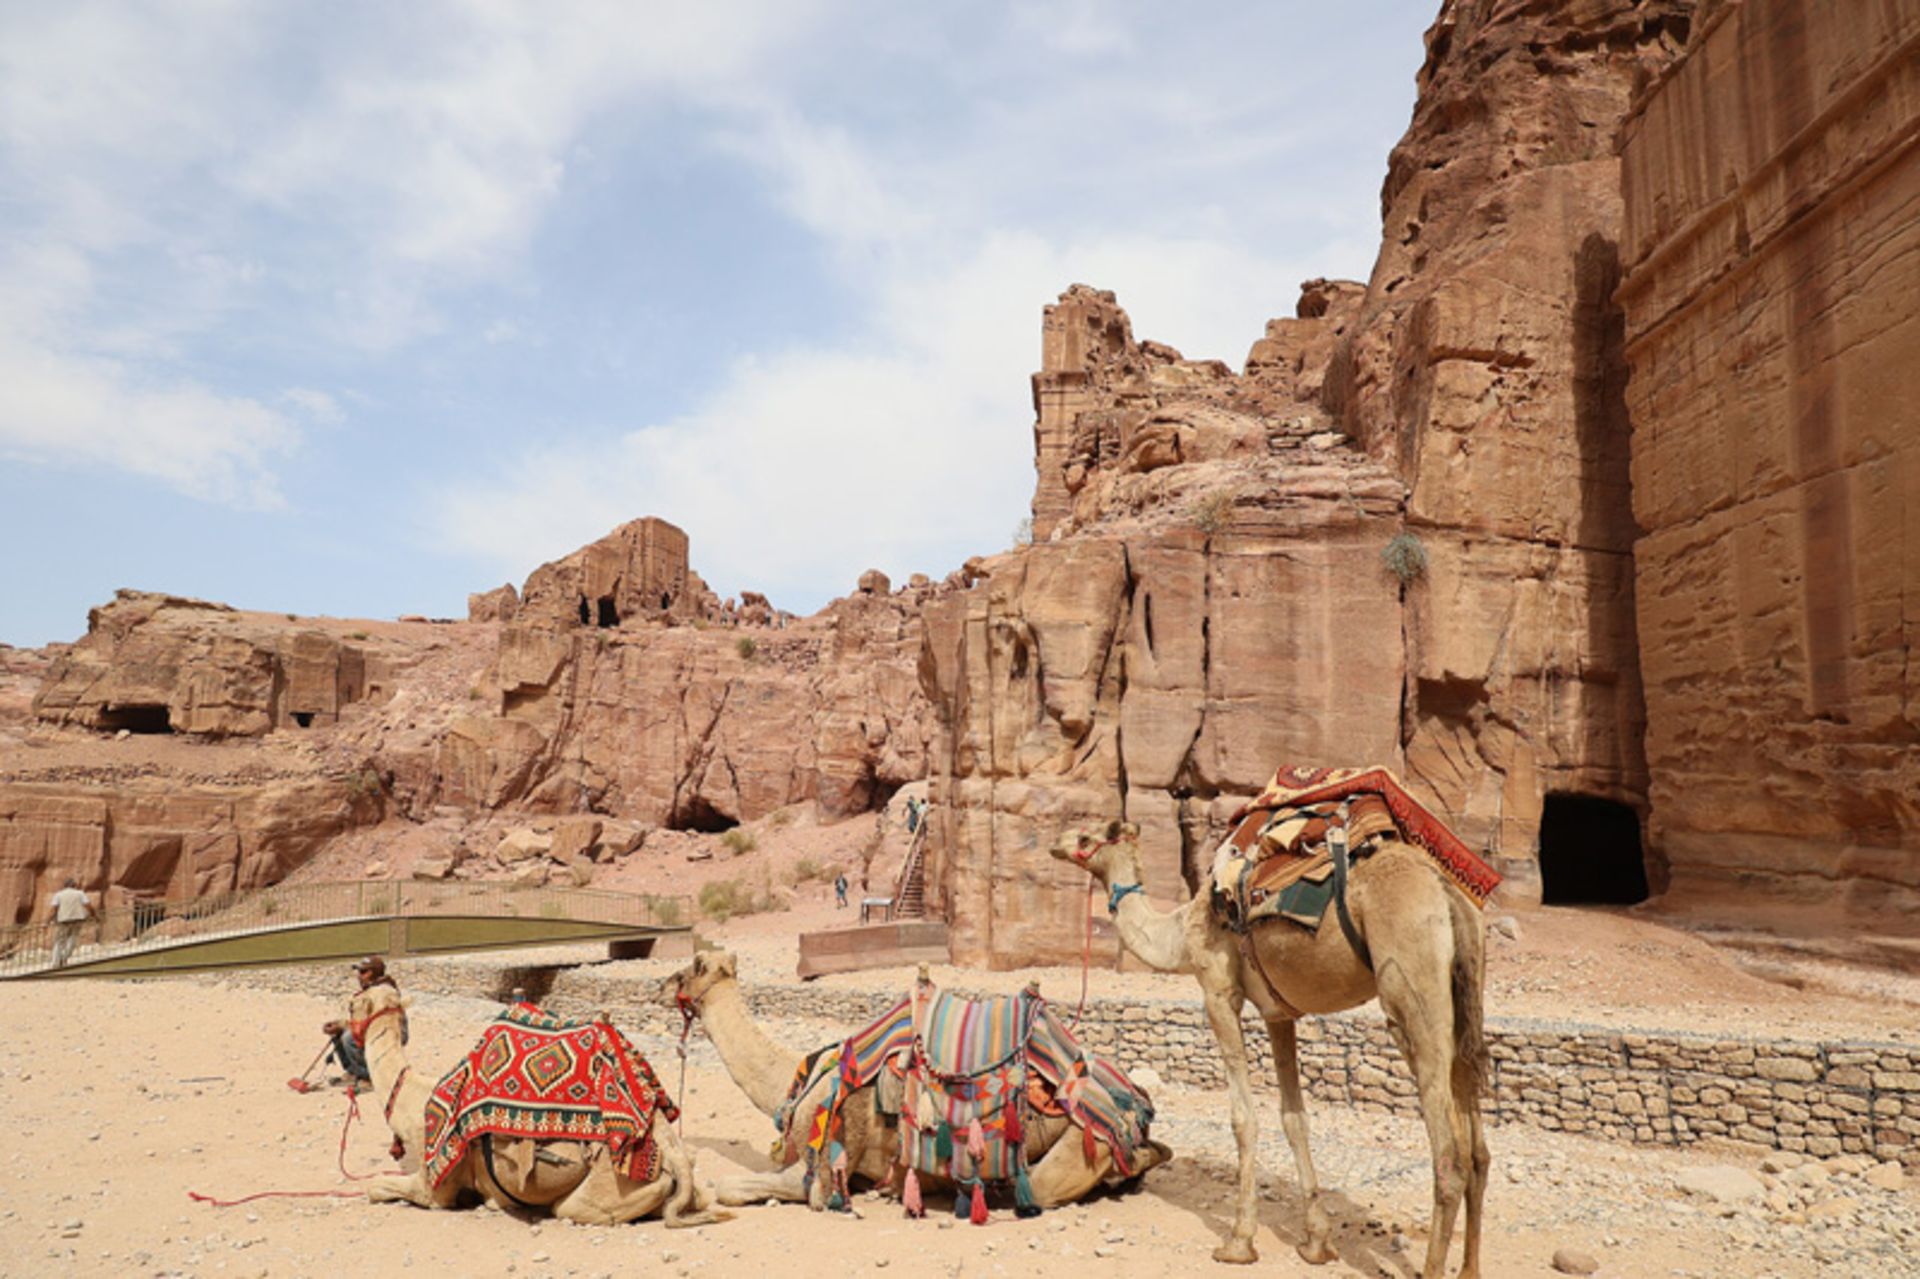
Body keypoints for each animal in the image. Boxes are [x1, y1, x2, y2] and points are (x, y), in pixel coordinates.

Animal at [351, 983, 725, 1226]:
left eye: (353, 1004)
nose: (340, 1022)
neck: (412, 1097)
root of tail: (666, 1141)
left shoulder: (436, 1183)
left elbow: (375, 1187)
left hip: (609, 1183)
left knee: (573, 1208)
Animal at [664, 950, 1172, 1209]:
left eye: (691, 966)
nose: (666, 981)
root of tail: (1136, 1101)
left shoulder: (825, 1169)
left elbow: (731, 1189)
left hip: (1088, 1141)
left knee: (1052, 1184)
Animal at [1049, 819, 1487, 1279]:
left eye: (1085, 837)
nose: (1055, 844)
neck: (1181, 932)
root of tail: (1446, 893)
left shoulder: (1218, 991)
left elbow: (1243, 1119)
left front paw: (1239, 1242)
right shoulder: (1278, 1013)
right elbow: (1294, 1119)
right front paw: (1317, 1243)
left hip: (1412, 986)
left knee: (1450, 1156)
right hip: (1466, 996)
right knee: (1477, 1150)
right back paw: (1469, 1270)